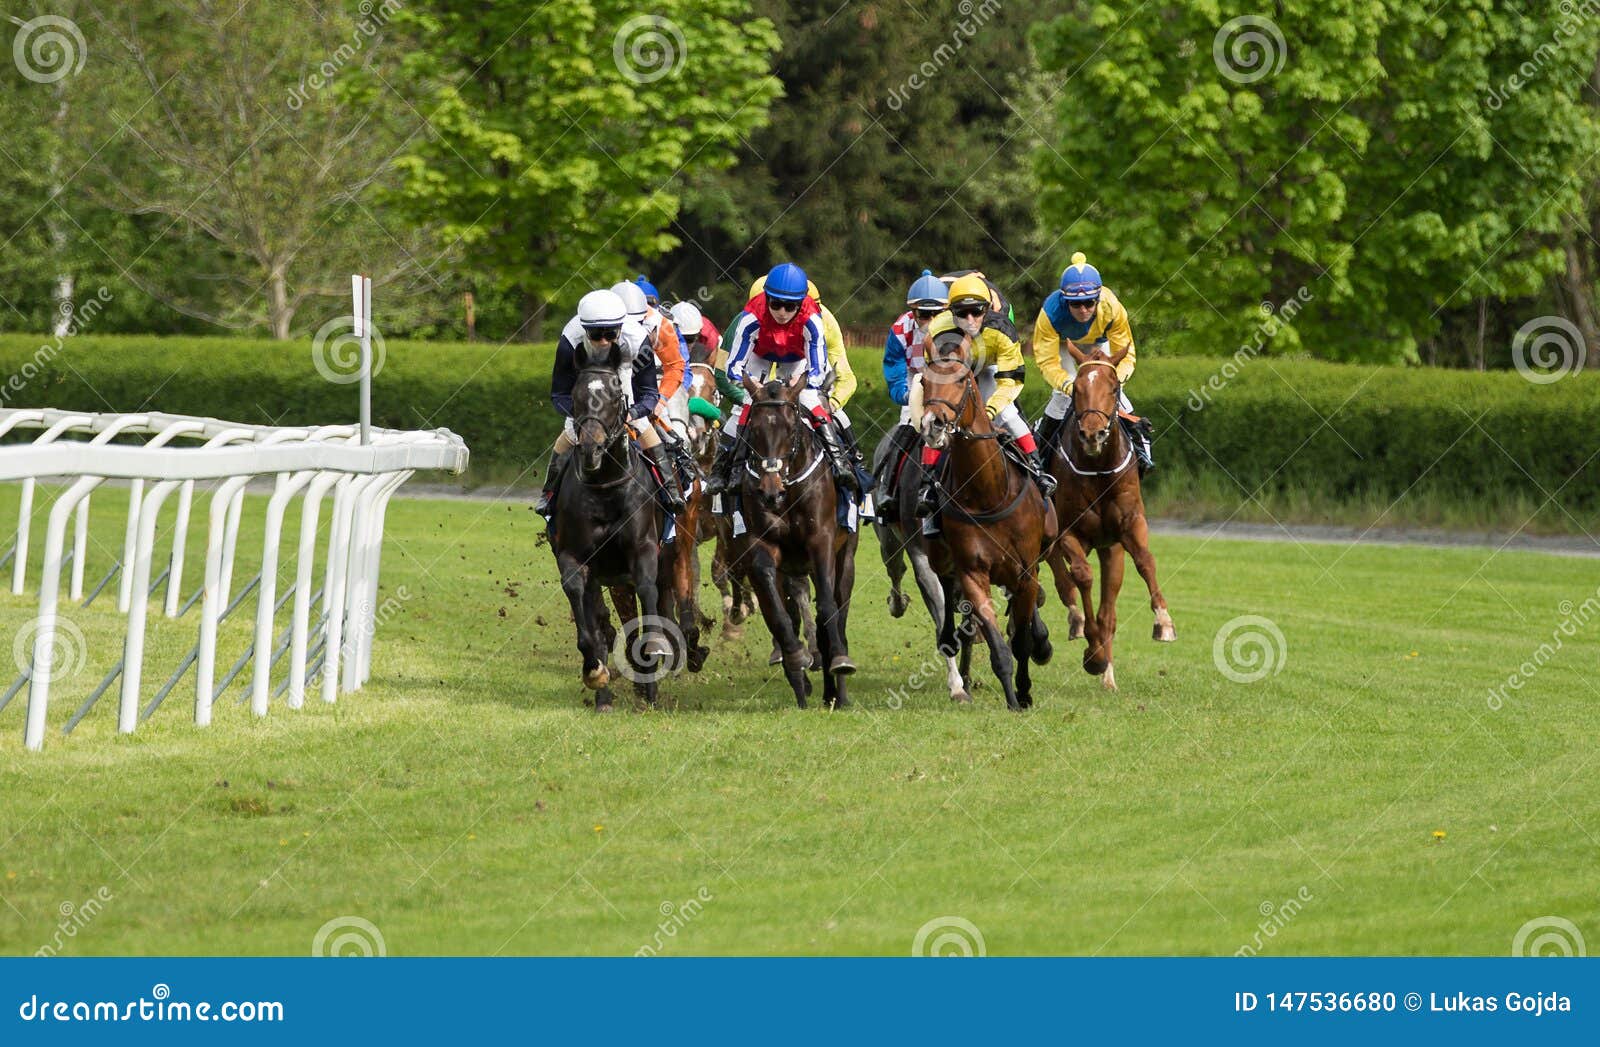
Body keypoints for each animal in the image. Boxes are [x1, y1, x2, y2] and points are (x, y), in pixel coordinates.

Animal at [553, 361, 672, 714]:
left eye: (616, 396)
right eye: (576, 395)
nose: (591, 448)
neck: (604, 487)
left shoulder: (644, 549)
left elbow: (647, 592)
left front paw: (651, 669)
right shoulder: (573, 556)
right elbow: (582, 606)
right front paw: (595, 673)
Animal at [732, 373, 857, 710]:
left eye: (791, 429)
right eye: (753, 430)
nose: (770, 492)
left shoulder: (822, 540)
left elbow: (827, 606)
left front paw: (838, 662)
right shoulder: (760, 544)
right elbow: (778, 614)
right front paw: (796, 659)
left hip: (845, 557)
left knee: (838, 611)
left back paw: (837, 690)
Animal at [921, 357, 1056, 710]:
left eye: (962, 381)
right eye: (923, 382)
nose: (932, 424)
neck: (988, 494)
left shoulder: (1025, 570)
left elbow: (1021, 640)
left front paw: (1024, 692)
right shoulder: (973, 573)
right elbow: (999, 647)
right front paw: (1012, 698)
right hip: (941, 557)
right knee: (947, 589)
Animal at [1049, 340, 1177, 694]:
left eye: (1113, 386)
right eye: (1077, 388)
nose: (1092, 434)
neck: (1097, 468)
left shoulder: (1129, 525)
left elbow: (1145, 561)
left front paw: (1163, 622)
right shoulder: (1067, 531)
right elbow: (1082, 576)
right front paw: (1093, 654)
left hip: (1111, 550)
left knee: (1108, 610)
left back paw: (1108, 672)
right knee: (1062, 580)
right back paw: (1079, 626)